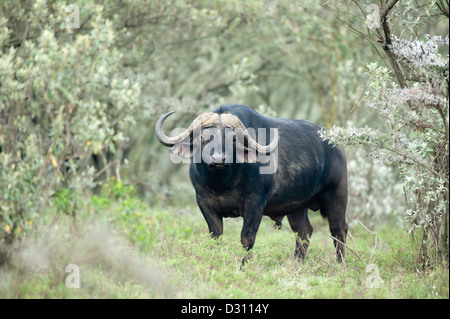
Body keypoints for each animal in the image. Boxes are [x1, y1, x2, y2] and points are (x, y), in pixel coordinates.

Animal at [155, 104, 348, 262]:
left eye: (233, 139)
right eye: (204, 137)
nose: (218, 159)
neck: (221, 184)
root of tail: (336, 146)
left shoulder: (255, 204)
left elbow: (247, 238)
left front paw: (243, 266)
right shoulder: (204, 203)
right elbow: (216, 237)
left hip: (336, 195)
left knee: (338, 230)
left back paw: (341, 264)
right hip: (296, 206)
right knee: (304, 231)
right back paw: (296, 262)